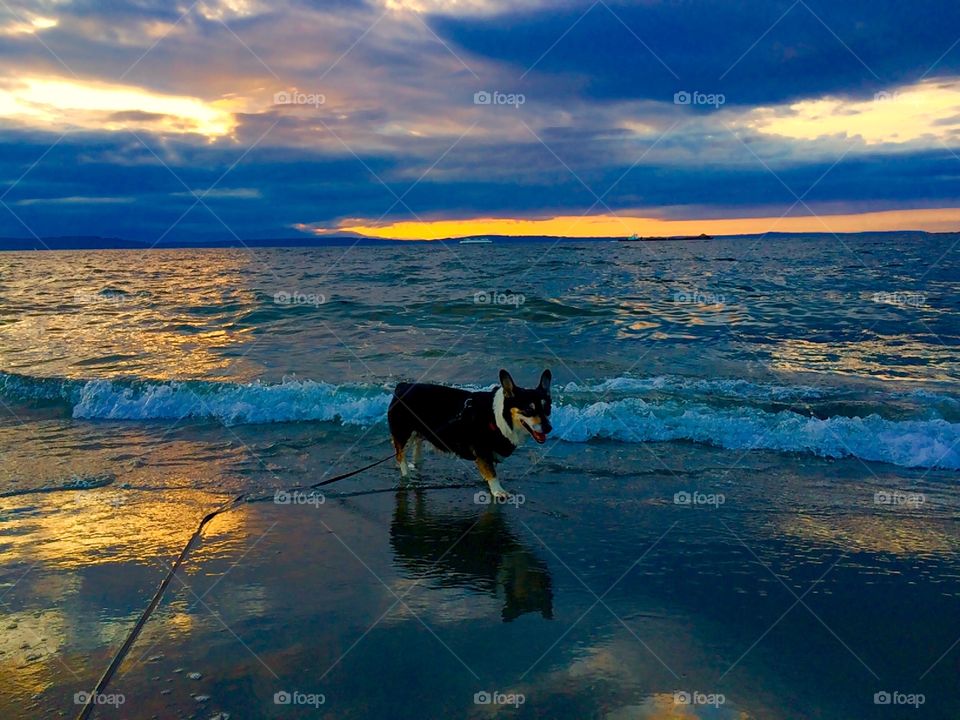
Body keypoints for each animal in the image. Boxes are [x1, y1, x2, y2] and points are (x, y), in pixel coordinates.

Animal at [388, 368, 552, 498]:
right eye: (529, 409)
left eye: (548, 408)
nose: (549, 428)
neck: (498, 416)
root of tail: (402, 386)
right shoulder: (483, 450)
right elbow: (492, 472)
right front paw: (498, 491)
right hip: (403, 433)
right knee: (400, 455)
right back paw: (407, 476)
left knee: (417, 445)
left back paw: (418, 464)